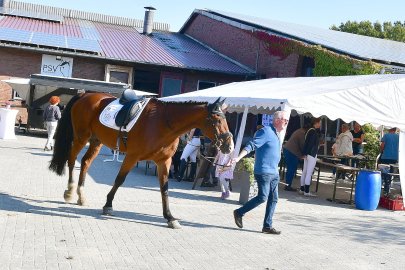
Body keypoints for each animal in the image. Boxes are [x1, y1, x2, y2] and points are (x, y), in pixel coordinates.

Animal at [48, 92, 232, 228]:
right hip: (81, 137)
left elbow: (164, 188)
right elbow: (119, 180)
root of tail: (84, 95)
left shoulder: (164, 161)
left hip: (95, 141)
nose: (229, 146)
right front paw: (108, 205)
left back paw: (81, 195)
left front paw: (169, 217)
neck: (164, 123)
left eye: (226, 119)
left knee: (85, 162)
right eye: (217, 120)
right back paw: (70, 191)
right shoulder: (132, 156)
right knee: (72, 160)